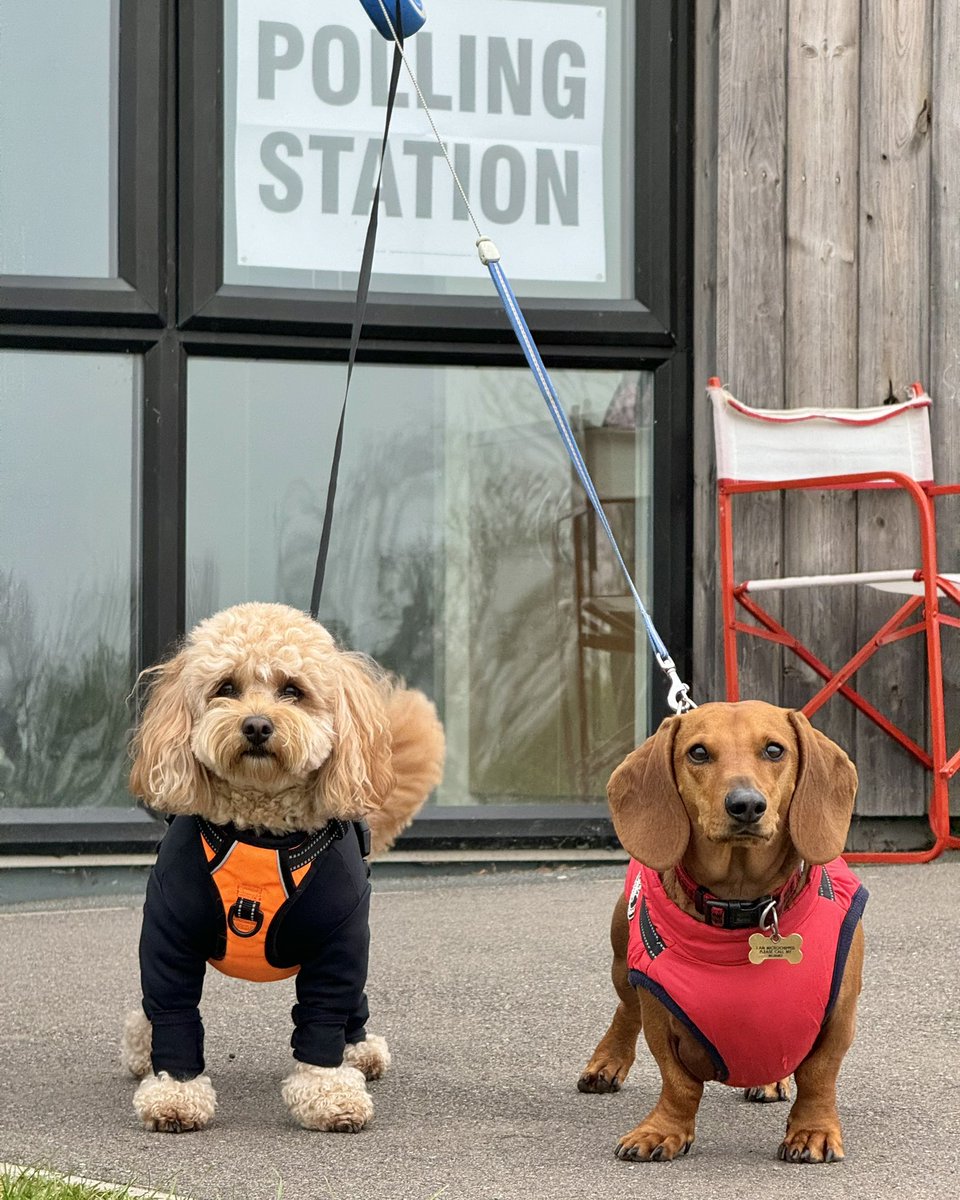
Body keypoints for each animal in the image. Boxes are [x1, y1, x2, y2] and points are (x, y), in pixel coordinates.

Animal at [121, 600, 446, 1132]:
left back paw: (359, 1052)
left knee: (352, 1008)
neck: (260, 834)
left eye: (292, 690)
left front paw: (329, 1092)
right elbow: (173, 1012)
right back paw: (142, 1049)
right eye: (226, 688)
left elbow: (324, 1015)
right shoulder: (169, 941)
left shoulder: (340, 944)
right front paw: (175, 1092)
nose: (256, 725)